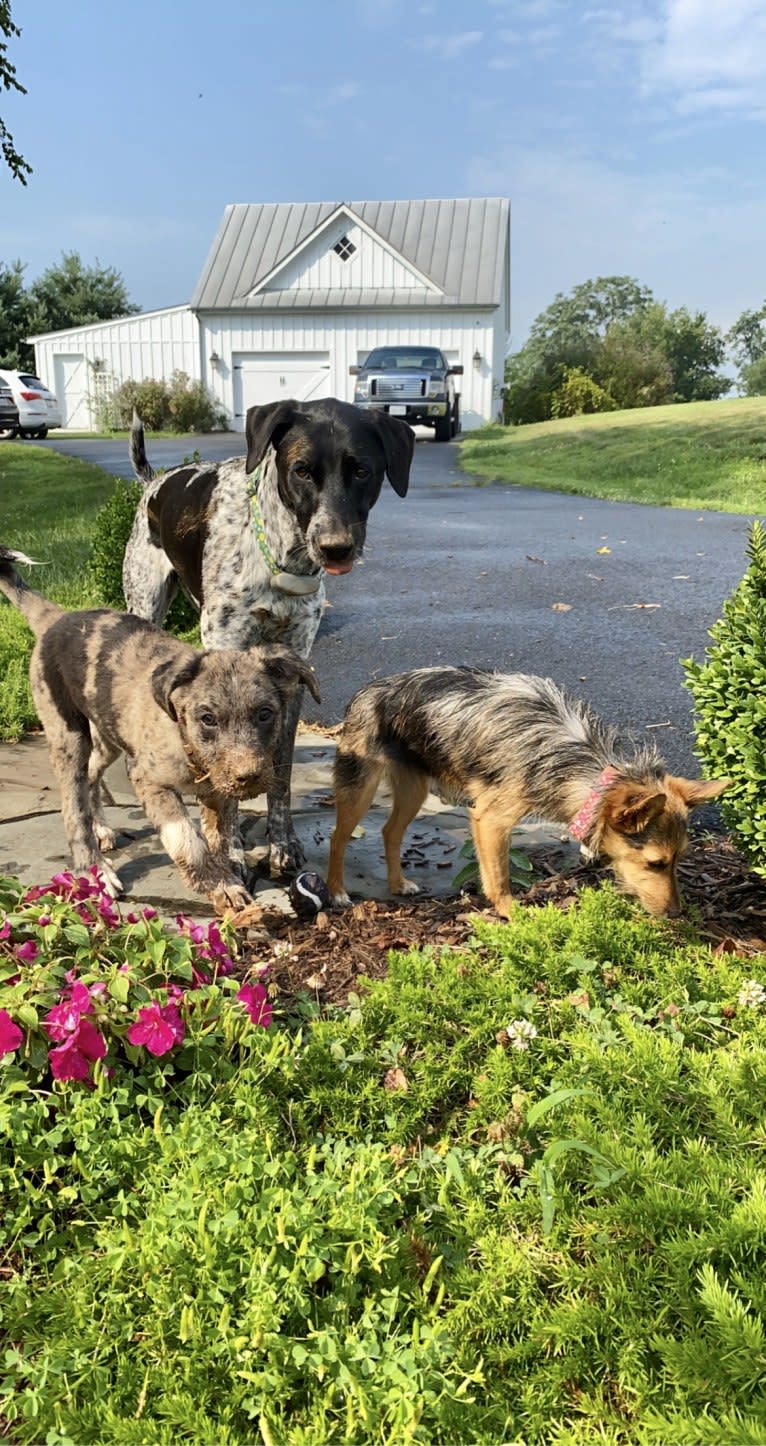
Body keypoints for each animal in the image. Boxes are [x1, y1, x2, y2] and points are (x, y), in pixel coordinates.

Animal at [0, 546, 316, 908]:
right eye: (208, 718)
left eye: (265, 714)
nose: (248, 777)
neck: (189, 748)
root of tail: (56, 619)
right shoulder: (148, 779)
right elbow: (187, 838)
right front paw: (221, 885)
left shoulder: (218, 792)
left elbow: (220, 836)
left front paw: (225, 873)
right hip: (67, 734)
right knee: (72, 808)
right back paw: (93, 870)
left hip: (108, 732)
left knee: (91, 774)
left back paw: (101, 829)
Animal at [122, 393, 413, 867]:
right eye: (301, 470)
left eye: (362, 471)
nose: (336, 548)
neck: (280, 562)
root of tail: (155, 481)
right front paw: (231, 847)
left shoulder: (292, 678)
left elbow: (282, 772)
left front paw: (282, 842)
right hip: (145, 603)